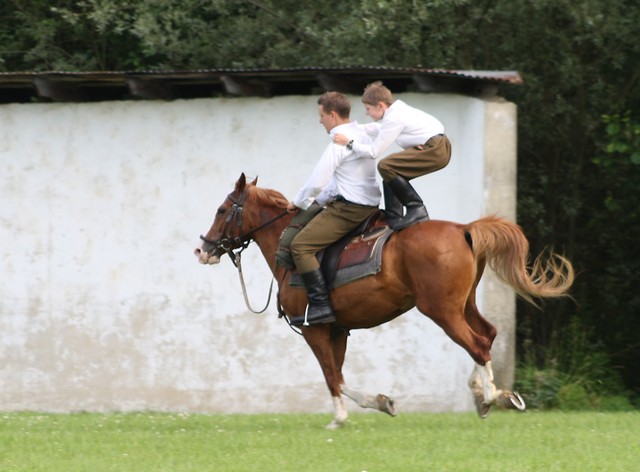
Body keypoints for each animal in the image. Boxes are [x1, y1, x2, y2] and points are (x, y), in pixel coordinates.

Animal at [195, 175, 576, 430]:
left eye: (222, 209)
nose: (202, 249)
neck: (287, 247)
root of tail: (464, 229)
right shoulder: (337, 330)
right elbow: (340, 374)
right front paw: (379, 402)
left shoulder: (314, 329)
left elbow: (332, 376)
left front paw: (341, 418)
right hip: (464, 305)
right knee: (489, 334)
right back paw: (485, 394)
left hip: (442, 310)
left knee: (478, 343)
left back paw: (491, 396)